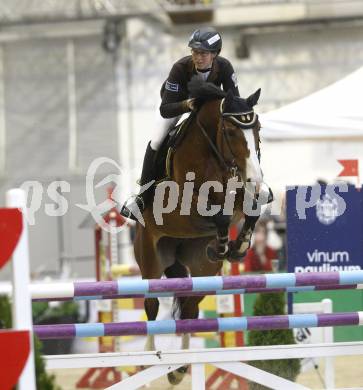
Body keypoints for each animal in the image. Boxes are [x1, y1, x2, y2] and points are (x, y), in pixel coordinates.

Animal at [135, 79, 266, 384]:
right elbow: (219, 215)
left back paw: (181, 367)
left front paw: (238, 246)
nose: (256, 180)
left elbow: (251, 208)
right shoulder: (187, 205)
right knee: (151, 306)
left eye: (258, 129)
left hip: (202, 272)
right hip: (150, 261)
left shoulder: (241, 192)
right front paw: (224, 244)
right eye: (231, 131)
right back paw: (149, 361)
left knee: (189, 308)